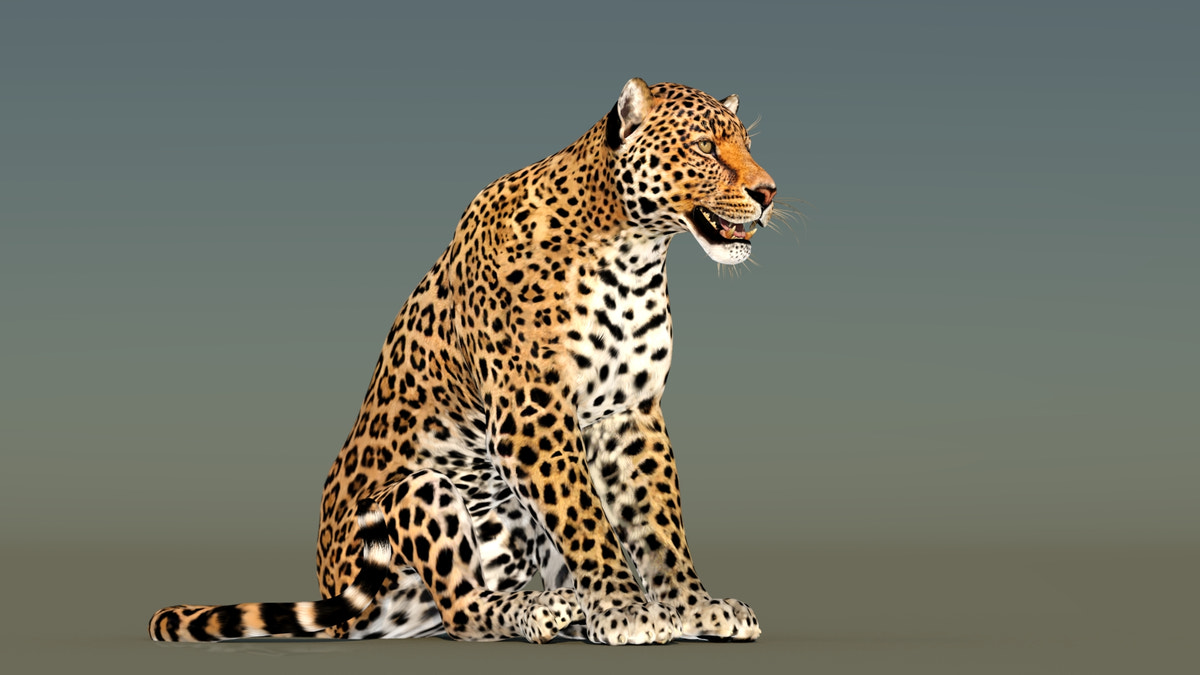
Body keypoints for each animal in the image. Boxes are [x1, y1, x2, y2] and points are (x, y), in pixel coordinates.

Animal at [149, 78, 777, 645]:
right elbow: (587, 519)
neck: (634, 252)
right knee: (462, 610)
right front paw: (624, 610)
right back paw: (543, 610)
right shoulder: (532, 418)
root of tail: (336, 596)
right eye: (704, 147)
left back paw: (563, 606)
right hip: (422, 489)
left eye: (747, 145)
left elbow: (657, 524)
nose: (768, 192)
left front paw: (694, 609)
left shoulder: (629, 414)